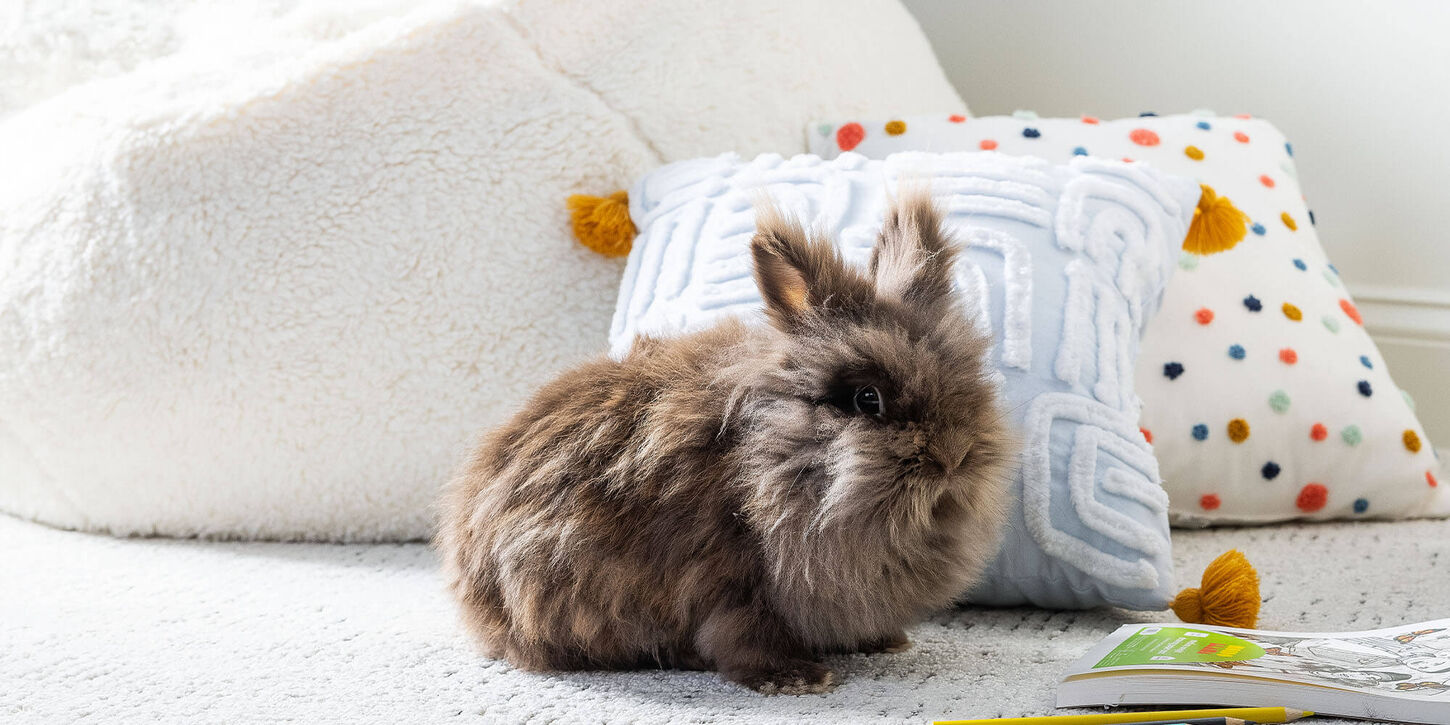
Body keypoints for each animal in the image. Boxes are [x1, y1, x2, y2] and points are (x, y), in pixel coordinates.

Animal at [436, 190, 1016, 695]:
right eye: (867, 398)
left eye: (968, 380)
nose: (954, 458)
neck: (764, 461)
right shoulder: (733, 586)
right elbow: (744, 639)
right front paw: (797, 680)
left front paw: (885, 642)